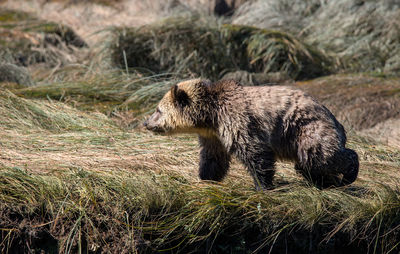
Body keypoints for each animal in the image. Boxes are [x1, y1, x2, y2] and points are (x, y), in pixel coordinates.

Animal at [144, 79, 360, 189]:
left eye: (158, 109)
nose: (146, 122)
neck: (210, 116)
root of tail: (334, 117)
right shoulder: (213, 136)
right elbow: (213, 158)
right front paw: (206, 178)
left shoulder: (238, 120)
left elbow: (254, 152)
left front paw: (262, 185)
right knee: (308, 165)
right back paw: (326, 182)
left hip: (305, 128)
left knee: (320, 155)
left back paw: (348, 173)